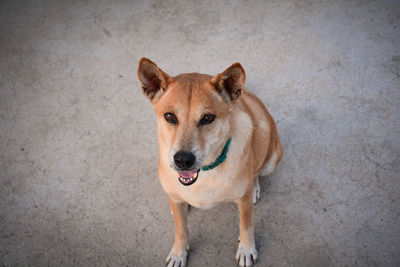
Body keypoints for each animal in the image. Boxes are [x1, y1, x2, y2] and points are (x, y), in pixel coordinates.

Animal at [139, 59, 282, 267]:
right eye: (169, 116)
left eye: (208, 118)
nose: (183, 160)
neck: (205, 174)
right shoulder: (175, 200)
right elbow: (181, 228)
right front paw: (178, 253)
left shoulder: (243, 202)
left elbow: (246, 225)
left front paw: (246, 249)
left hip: (271, 156)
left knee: (257, 172)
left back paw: (254, 186)